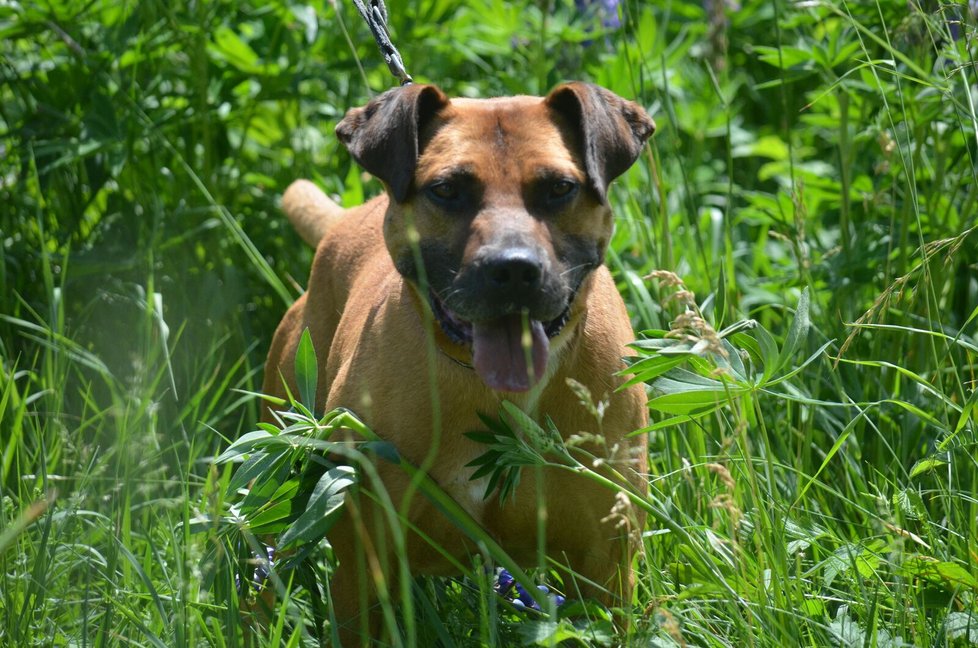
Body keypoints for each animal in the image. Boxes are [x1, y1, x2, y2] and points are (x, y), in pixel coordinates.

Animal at [264, 81, 652, 644]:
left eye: (559, 188)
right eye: (447, 190)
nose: (512, 269)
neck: (496, 393)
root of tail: (344, 220)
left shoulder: (605, 561)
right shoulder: (364, 560)